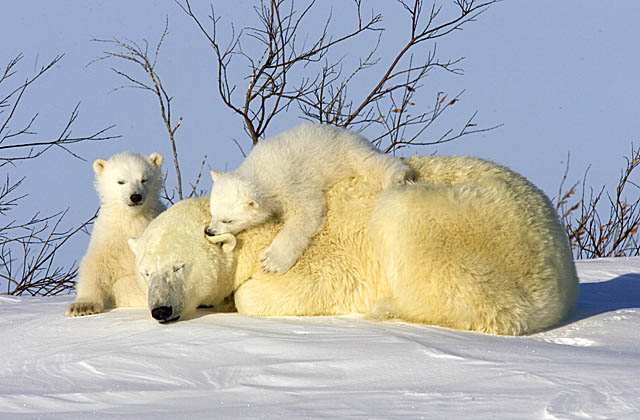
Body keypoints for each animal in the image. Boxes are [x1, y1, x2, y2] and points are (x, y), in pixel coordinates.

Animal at [65, 153, 164, 316]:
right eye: (121, 181)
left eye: (144, 179)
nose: (135, 196)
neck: (131, 220)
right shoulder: (108, 237)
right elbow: (95, 265)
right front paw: (82, 307)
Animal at [130, 154, 580, 334]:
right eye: (146, 272)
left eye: (179, 266)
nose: (160, 310)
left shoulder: (322, 257)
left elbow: (280, 290)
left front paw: (239, 296)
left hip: (467, 225)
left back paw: (387, 307)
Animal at [206, 124, 416, 276]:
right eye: (213, 214)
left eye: (228, 220)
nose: (209, 231)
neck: (263, 170)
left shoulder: (290, 183)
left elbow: (307, 213)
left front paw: (270, 262)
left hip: (345, 153)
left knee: (370, 163)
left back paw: (397, 176)